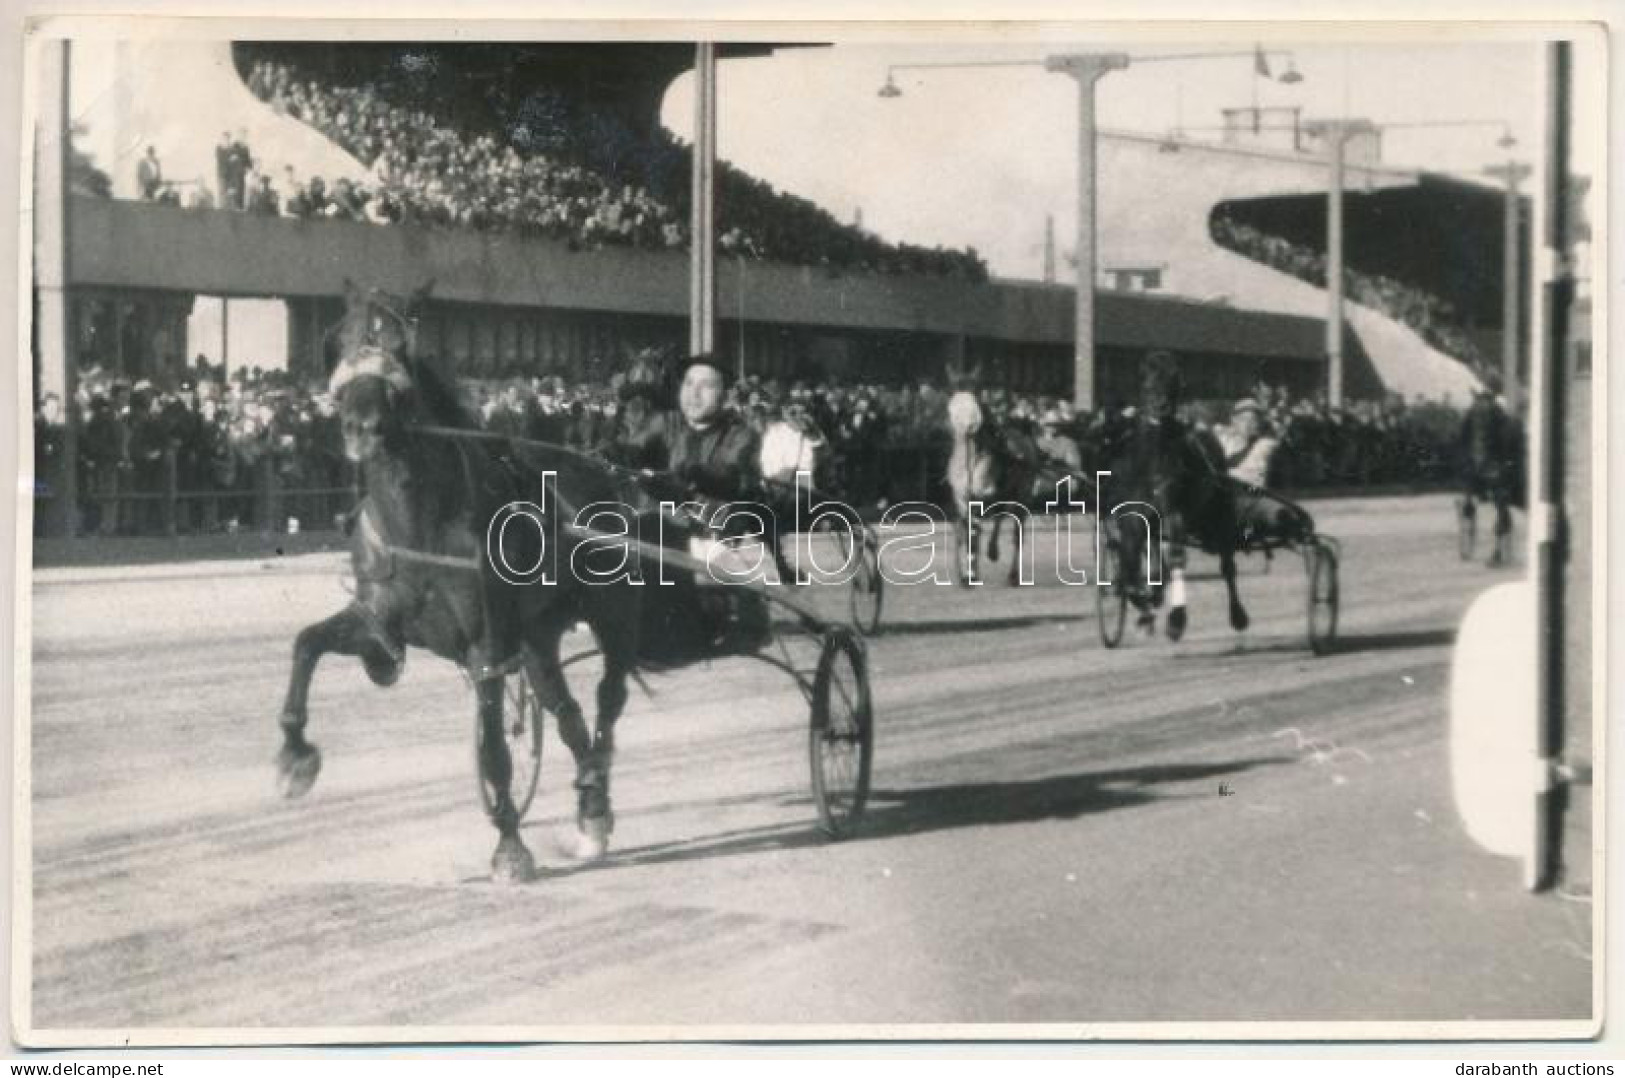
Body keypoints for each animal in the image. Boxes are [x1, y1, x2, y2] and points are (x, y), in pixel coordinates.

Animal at [273, 282, 640, 884]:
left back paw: (595, 797)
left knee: (608, 699)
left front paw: (510, 846)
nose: (362, 428)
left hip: (601, 612)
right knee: (566, 713)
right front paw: (293, 757)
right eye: (340, 339)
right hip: (536, 635)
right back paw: (592, 810)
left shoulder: (486, 645)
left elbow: (493, 749)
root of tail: (602, 472)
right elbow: (307, 643)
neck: (421, 519)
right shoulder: (379, 624)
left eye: (400, 343)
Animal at [1105, 354, 1254, 640]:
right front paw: (1142, 604)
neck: (1154, 462)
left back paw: (1238, 614)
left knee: (1227, 563)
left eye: (1174, 378)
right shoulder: (1135, 517)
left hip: (1217, 514)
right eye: (1146, 376)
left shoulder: (1173, 510)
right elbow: (1130, 563)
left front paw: (1176, 619)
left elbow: (1176, 556)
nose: (1160, 408)